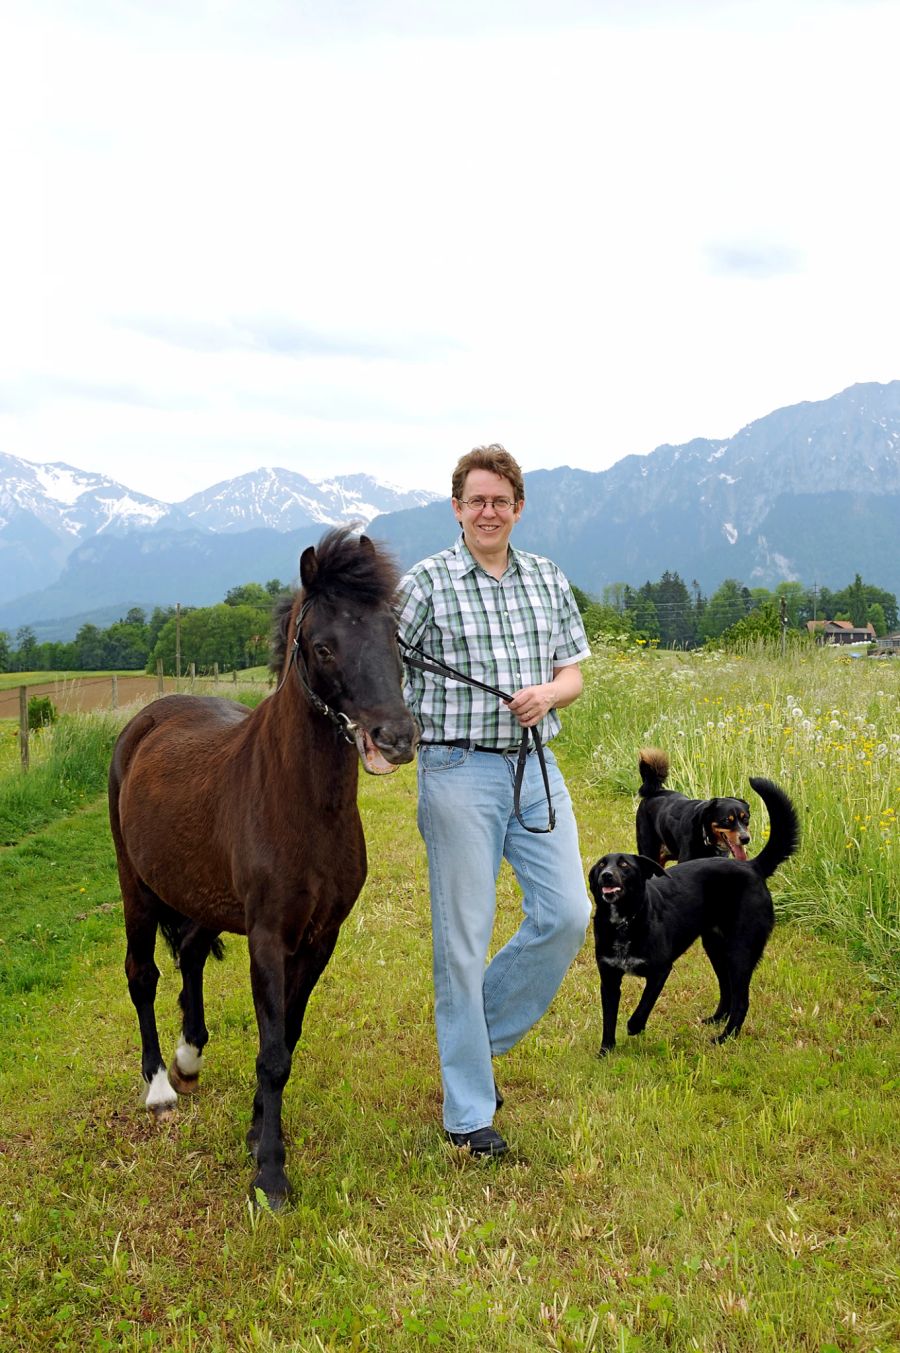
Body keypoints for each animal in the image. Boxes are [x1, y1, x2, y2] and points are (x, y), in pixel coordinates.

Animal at [108, 524, 414, 1206]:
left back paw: (189, 1056)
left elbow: (286, 1039)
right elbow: (273, 1053)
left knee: (192, 953)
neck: (301, 805)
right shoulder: (269, 937)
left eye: (394, 636)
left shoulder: (320, 938)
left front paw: (254, 1135)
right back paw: (159, 1085)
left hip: (198, 894)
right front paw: (270, 1175)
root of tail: (146, 721)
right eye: (323, 647)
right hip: (136, 888)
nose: (398, 738)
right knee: (143, 974)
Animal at [592, 779, 795, 1049]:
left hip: (741, 949)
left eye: (624, 865)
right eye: (601, 865)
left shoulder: (660, 970)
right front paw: (606, 1050)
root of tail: (752, 867)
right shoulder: (609, 978)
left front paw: (635, 1026)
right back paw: (717, 1019)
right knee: (727, 987)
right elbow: (609, 1017)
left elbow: (644, 1004)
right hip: (716, 946)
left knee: (741, 999)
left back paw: (724, 1037)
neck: (625, 920)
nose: (606, 876)